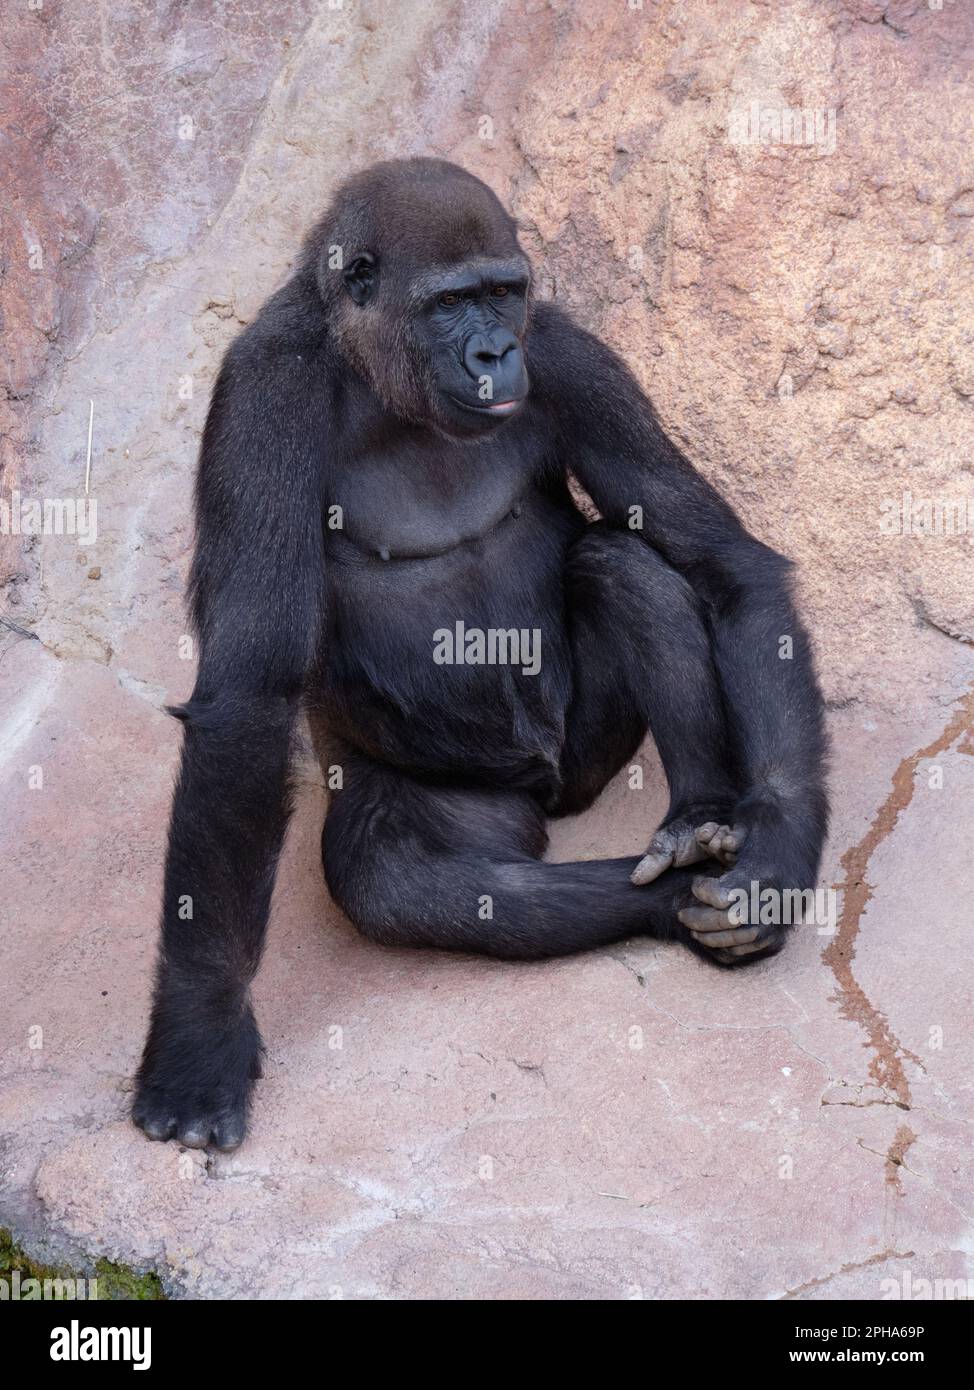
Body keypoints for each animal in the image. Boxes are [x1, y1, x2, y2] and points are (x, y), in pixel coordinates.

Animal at [131, 154, 828, 1150]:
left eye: (504, 293)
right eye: (451, 303)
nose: (497, 352)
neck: (370, 366)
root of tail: (549, 797)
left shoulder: (569, 356)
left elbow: (725, 564)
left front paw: (776, 857)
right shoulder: (265, 392)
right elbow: (249, 700)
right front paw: (201, 1030)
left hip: (587, 757)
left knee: (623, 564)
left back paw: (700, 827)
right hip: (464, 795)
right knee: (409, 881)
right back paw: (661, 896)